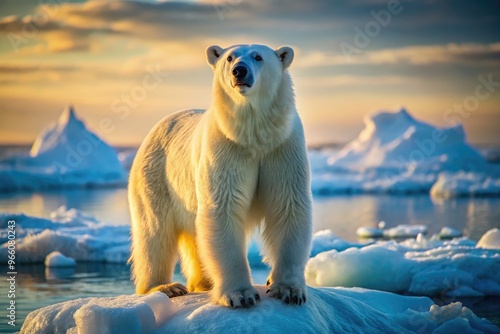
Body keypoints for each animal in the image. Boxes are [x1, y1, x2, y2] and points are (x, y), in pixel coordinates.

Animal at [127, 43, 310, 308]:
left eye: (258, 56)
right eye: (230, 57)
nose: (239, 71)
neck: (253, 136)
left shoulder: (282, 147)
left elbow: (287, 206)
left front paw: (289, 290)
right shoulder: (225, 147)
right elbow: (223, 209)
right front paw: (241, 295)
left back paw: (203, 282)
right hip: (155, 175)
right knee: (154, 231)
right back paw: (164, 287)